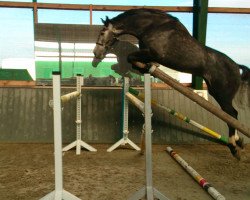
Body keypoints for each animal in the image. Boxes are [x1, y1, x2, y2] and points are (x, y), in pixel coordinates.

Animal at [93, 8, 249, 159]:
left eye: (102, 32)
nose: (96, 53)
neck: (150, 27)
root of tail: (237, 66)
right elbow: (135, 63)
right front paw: (147, 68)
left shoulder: (154, 54)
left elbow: (131, 58)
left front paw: (147, 67)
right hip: (216, 91)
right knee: (231, 115)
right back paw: (239, 141)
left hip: (221, 93)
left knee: (232, 115)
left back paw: (233, 146)